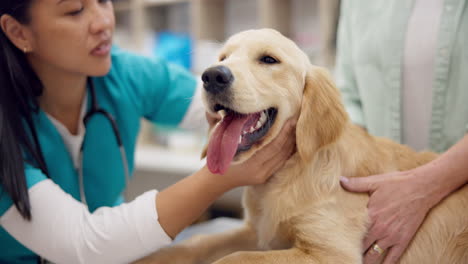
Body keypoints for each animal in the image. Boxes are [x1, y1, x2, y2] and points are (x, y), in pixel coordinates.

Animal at [135, 29, 468, 264]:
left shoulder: (329, 253)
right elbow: (197, 242)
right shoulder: (259, 232)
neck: (284, 176)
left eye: (269, 59)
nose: (212, 76)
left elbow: (235, 258)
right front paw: (152, 256)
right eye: (222, 58)